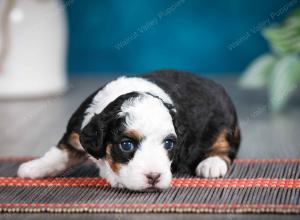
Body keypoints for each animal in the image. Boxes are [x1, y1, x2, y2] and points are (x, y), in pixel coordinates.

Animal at [17, 70, 240, 191]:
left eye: (169, 144)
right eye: (126, 145)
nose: (154, 177)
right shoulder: (76, 134)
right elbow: (58, 154)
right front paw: (33, 167)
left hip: (226, 126)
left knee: (226, 149)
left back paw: (211, 164)